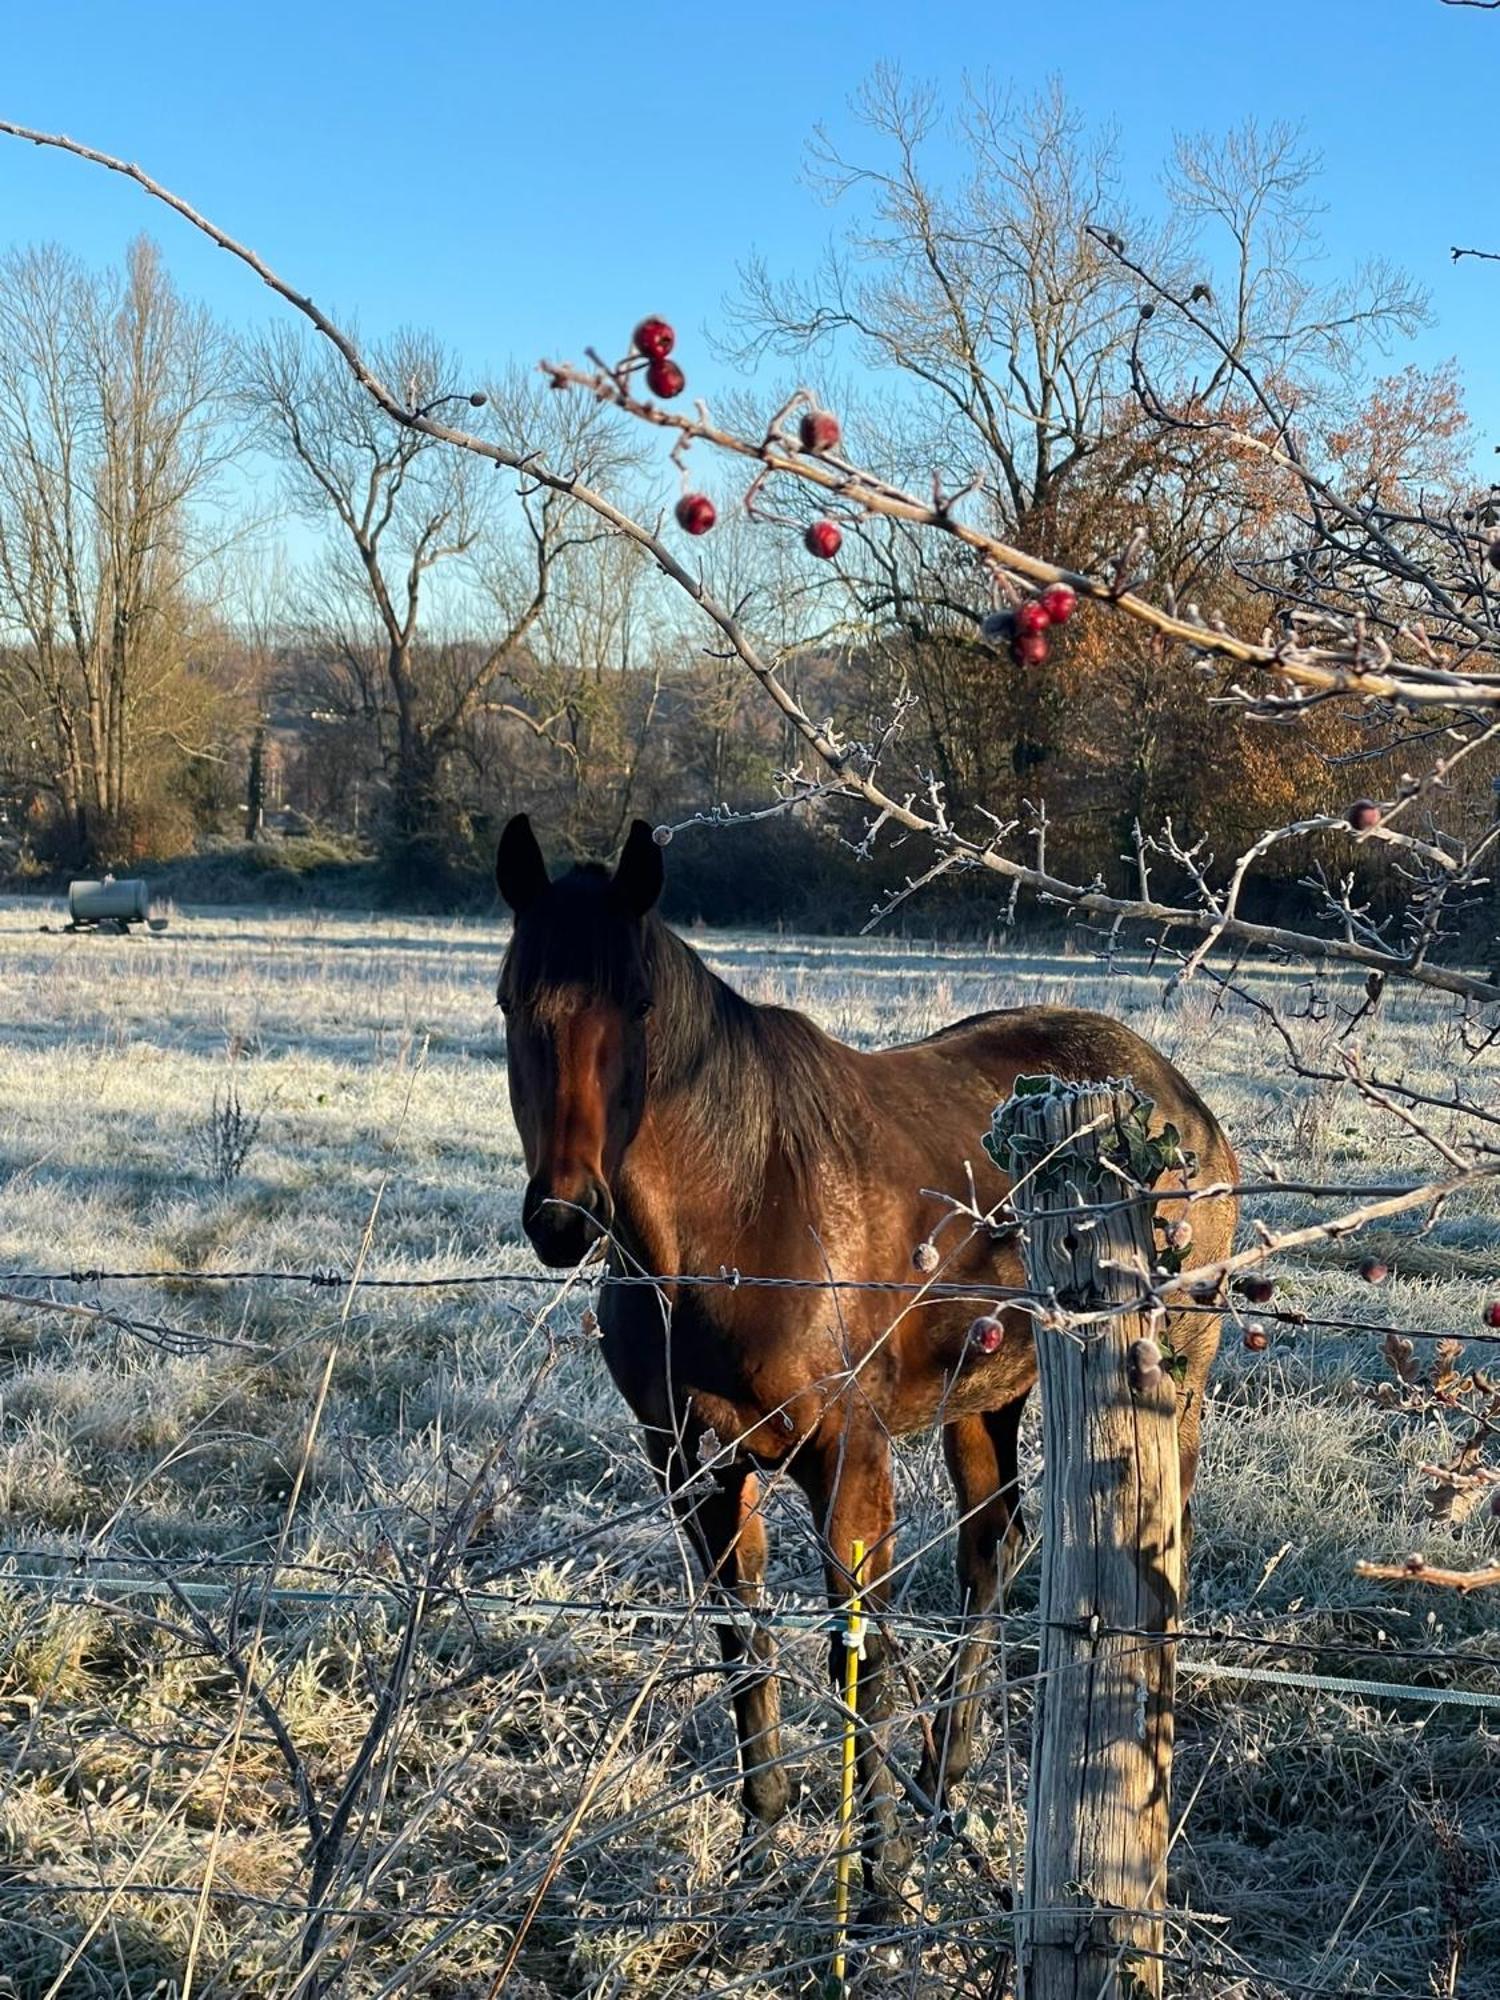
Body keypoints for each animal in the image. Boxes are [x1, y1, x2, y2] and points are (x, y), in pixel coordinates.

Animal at [500, 812, 1240, 1920]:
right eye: (513, 999)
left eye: (637, 1004)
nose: (564, 1214)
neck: (735, 1211)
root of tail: (1183, 1103)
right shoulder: (696, 1467)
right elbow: (746, 1647)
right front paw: (763, 1846)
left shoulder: (846, 1459)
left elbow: (864, 1656)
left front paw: (878, 1881)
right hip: (984, 1403)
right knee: (992, 1545)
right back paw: (943, 1777)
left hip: (1168, 1385)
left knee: (1145, 1550)